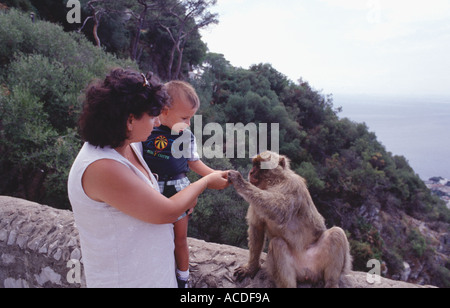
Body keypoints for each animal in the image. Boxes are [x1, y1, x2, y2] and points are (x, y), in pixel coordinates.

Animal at [229, 152, 352, 288]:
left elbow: (280, 211)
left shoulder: (293, 185)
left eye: (259, 165)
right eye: (254, 164)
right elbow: (257, 228)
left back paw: (331, 283)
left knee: (336, 233)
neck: (275, 182)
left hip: (320, 264)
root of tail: (308, 273)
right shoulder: (256, 204)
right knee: (277, 244)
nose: (251, 172)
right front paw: (251, 267)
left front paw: (239, 181)